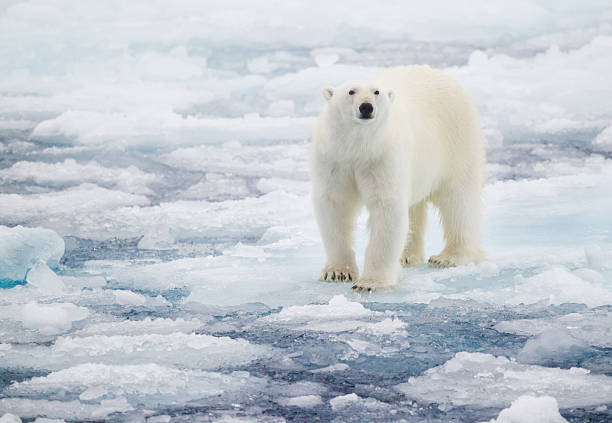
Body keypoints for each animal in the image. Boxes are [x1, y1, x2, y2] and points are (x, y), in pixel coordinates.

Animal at [314, 65, 486, 292]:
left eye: (376, 92)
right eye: (351, 91)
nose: (366, 107)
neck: (359, 148)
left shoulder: (383, 158)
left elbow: (386, 208)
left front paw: (370, 283)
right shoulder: (334, 159)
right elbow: (335, 205)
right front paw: (337, 272)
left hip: (457, 139)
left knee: (458, 200)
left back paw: (448, 257)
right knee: (415, 208)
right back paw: (407, 256)